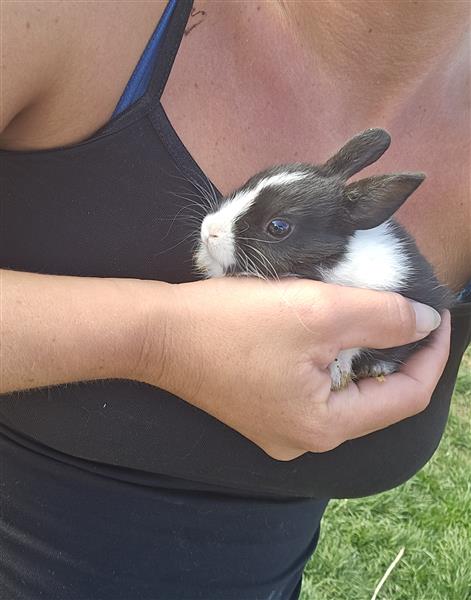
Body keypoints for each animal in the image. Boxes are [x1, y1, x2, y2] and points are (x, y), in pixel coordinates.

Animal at [193, 129, 454, 392]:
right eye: (250, 183)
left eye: (278, 227)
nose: (209, 231)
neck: (331, 260)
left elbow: (353, 345)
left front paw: (338, 374)